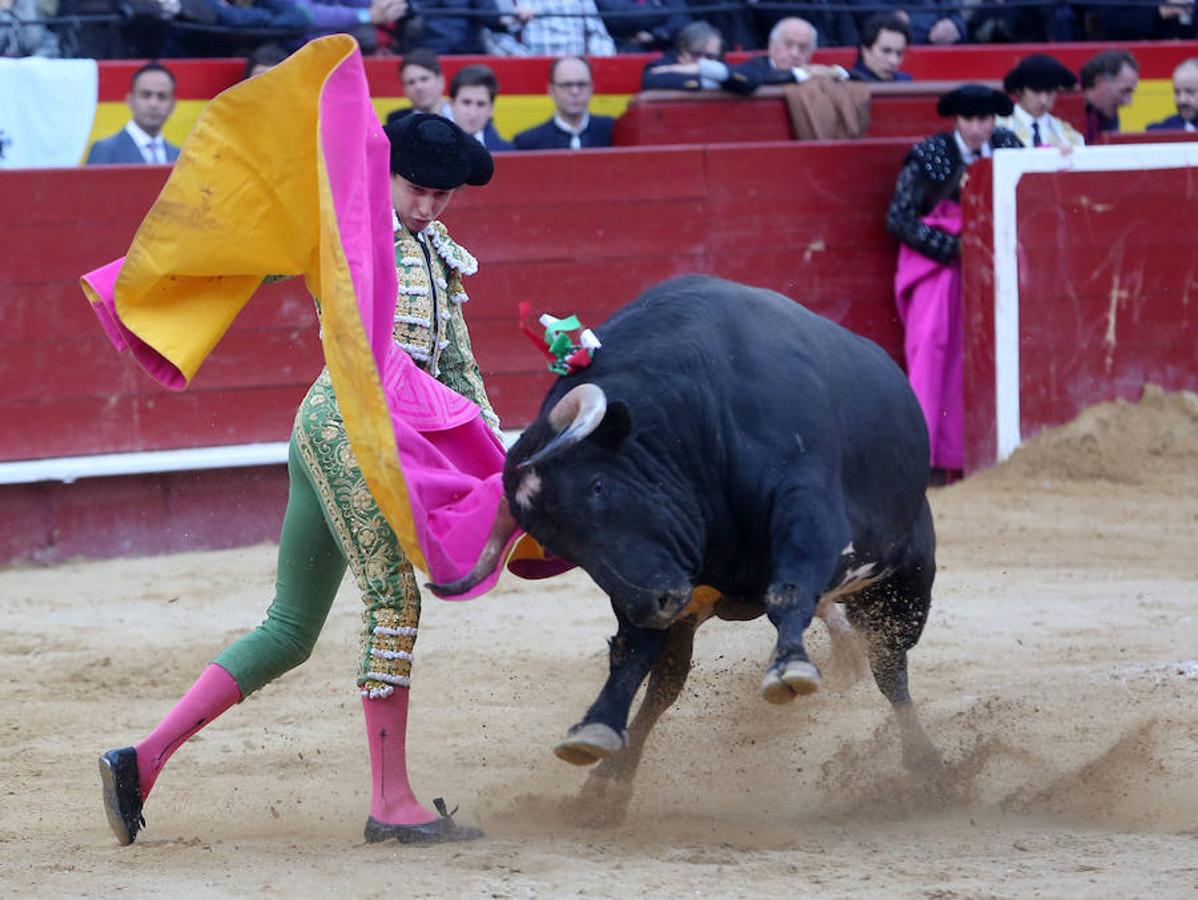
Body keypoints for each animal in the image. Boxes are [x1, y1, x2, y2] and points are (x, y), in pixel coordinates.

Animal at [436, 278, 939, 819]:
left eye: (597, 487)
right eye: (554, 540)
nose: (653, 604)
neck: (694, 418)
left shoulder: (806, 503)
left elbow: (789, 589)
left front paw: (790, 667)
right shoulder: (659, 578)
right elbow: (631, 656)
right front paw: (596, 729)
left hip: (906, 579)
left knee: (890, 666)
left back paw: (927, 766)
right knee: (665, 685)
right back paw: (609, 782)